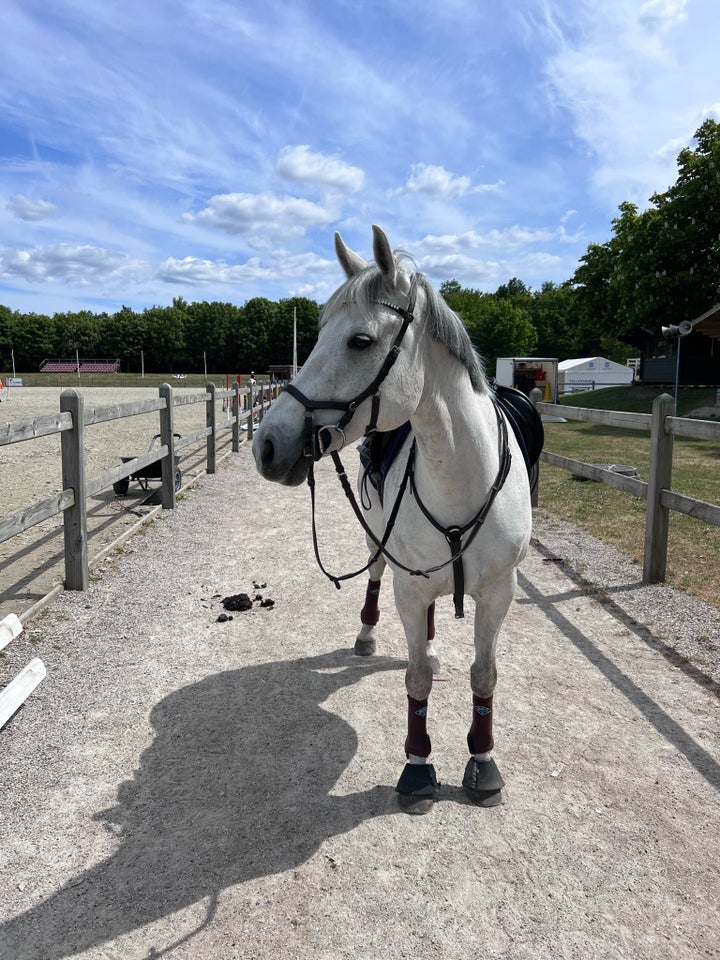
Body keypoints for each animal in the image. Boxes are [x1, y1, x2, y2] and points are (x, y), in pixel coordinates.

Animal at [253, 229, 536, 812]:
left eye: (360, 341)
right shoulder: (410, 587)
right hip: (381, 547)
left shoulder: (500, 591)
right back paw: (366, 635)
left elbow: (484, 674)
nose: (266, 445)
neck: (461, 475)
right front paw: (418, 767)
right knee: (377, 575)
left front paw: (483, 762)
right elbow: (417, 678)